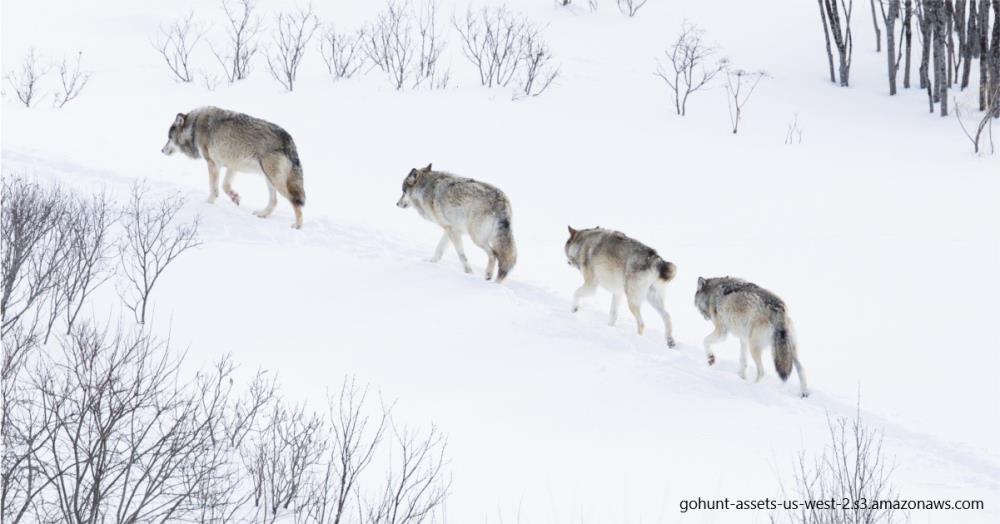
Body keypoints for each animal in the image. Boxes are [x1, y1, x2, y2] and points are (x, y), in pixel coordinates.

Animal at [160, 106, 304, 227]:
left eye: (169, 138)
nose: (161, 150)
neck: (194, 128)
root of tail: (288, 139)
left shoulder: (212, 163)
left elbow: (213, 188)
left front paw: (208, 204)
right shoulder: (232, 166)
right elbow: (225, 186)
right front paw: (235, 197)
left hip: (275, 180)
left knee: (295, 202)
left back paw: (297, 226)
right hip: (268, 179)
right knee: (274, 202)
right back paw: (262, 214)